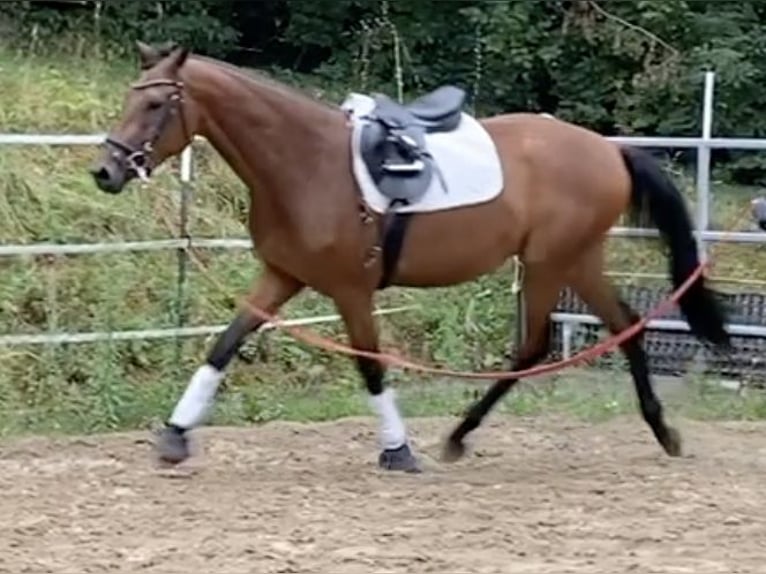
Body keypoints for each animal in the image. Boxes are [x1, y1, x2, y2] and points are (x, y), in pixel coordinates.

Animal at [90, 41, 730, 474]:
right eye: (129, 98)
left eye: (157, 105)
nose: (105, 171)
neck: (306, 163)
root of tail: (609, 149)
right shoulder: (282, 275)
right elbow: (224, 345)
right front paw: (175, 435)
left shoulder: (350, 291)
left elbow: (370, 366)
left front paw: (398, 450)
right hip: (576, 260)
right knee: (625, 325)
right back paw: (662, 432)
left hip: (550, 262)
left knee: (535, 346)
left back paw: (459, 435)